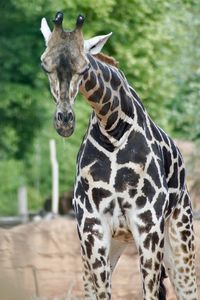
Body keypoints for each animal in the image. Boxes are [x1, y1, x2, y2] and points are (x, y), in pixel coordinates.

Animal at [40, 12, 197, 300]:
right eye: (45, 65)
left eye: (83, 68)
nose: (65, 121)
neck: (112, 127)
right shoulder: (92, 228)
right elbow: (102, 293)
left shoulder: (147, 225)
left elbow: (149, 293)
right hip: (113, 242)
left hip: (179, 233)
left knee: (187, 288)